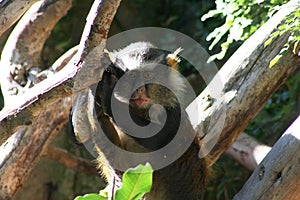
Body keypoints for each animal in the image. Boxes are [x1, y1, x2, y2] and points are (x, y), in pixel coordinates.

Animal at [78, 41, 210, 198]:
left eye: (148, 75)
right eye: (131, 76)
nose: (139, 89)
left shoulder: (173, 113)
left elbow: (159, 140)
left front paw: (108, 95)